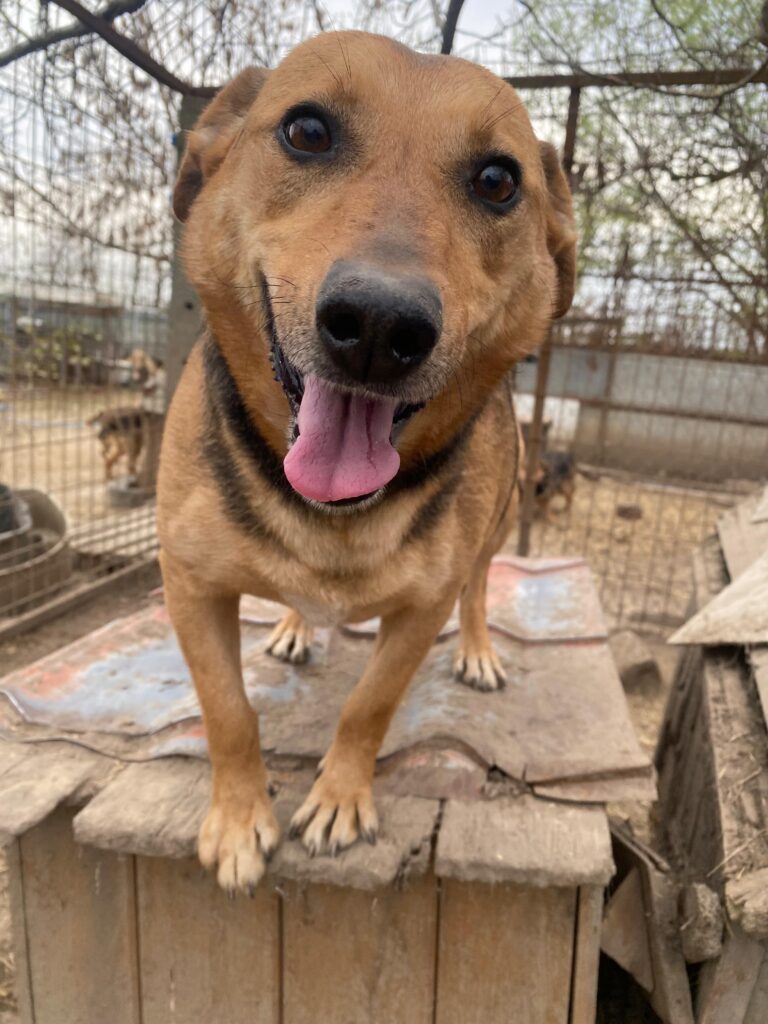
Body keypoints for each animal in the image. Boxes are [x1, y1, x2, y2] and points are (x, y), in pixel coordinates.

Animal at [157, 31, 576, 892]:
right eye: (306, 131)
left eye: (497, 181)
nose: (380, 326)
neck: (332, 513)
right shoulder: (188, 583)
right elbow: (226, 710)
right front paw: (240, 818)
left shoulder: (422, 607)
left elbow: (370, 705)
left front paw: (340, 799)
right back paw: (293, 625)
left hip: (494, 526)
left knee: (479, 586)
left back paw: (477, 649)